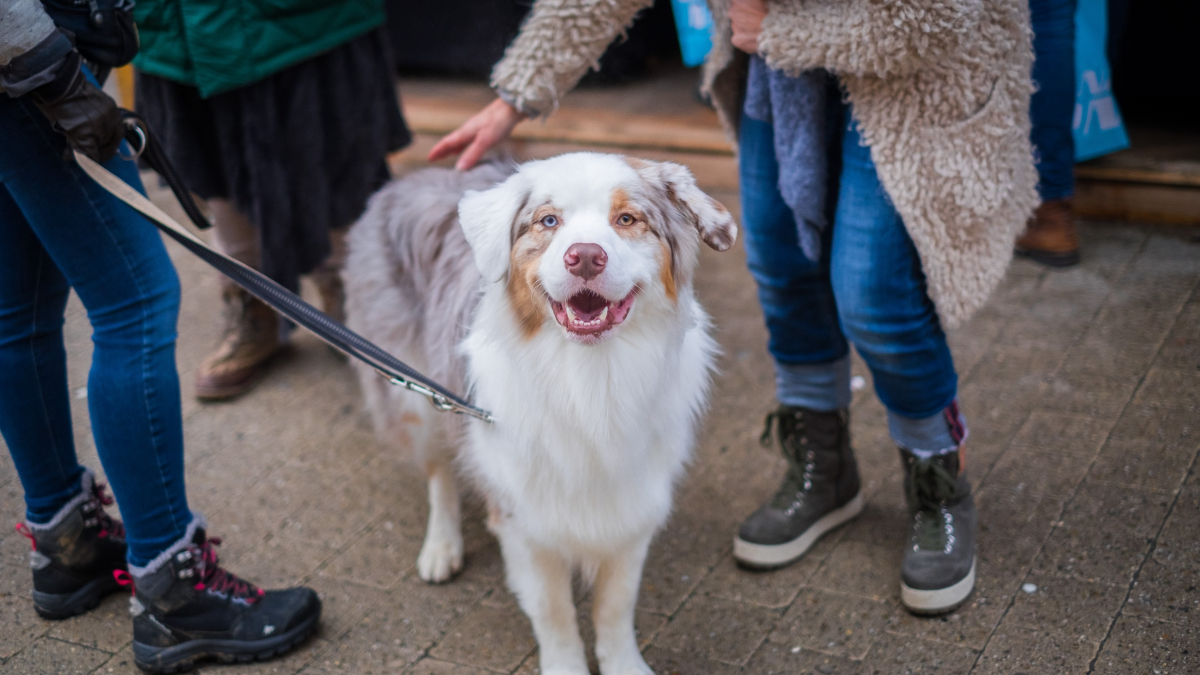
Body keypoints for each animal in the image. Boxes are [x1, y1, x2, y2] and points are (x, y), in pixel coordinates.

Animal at [343, 152, 734, 672]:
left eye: (627, 219)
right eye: (549, 221)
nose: (585, 256)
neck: (591, 379)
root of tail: (412, 177)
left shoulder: (634, 501)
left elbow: (616, 605)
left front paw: (623, 663)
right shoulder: (522, 516)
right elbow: (553, 611)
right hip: (416, 393)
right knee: (439, 470)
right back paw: (441, 547)